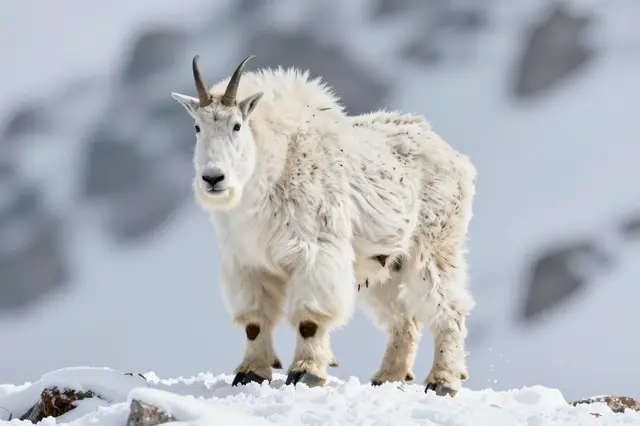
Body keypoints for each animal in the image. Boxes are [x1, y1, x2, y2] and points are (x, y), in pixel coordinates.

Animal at [171, 55, 477, 396]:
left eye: (237, 125)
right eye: (197, 127)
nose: (213, 178)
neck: (273, 166)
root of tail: (457, 159)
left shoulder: (315, 252)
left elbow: (309, 319)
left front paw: (306, 372)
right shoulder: (250, 262)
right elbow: (254, 321)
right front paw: (250, 373)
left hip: (434, 248)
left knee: (449, 309)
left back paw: (443, 380)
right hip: (385, 264)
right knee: (404, 319)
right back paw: (387, 376)